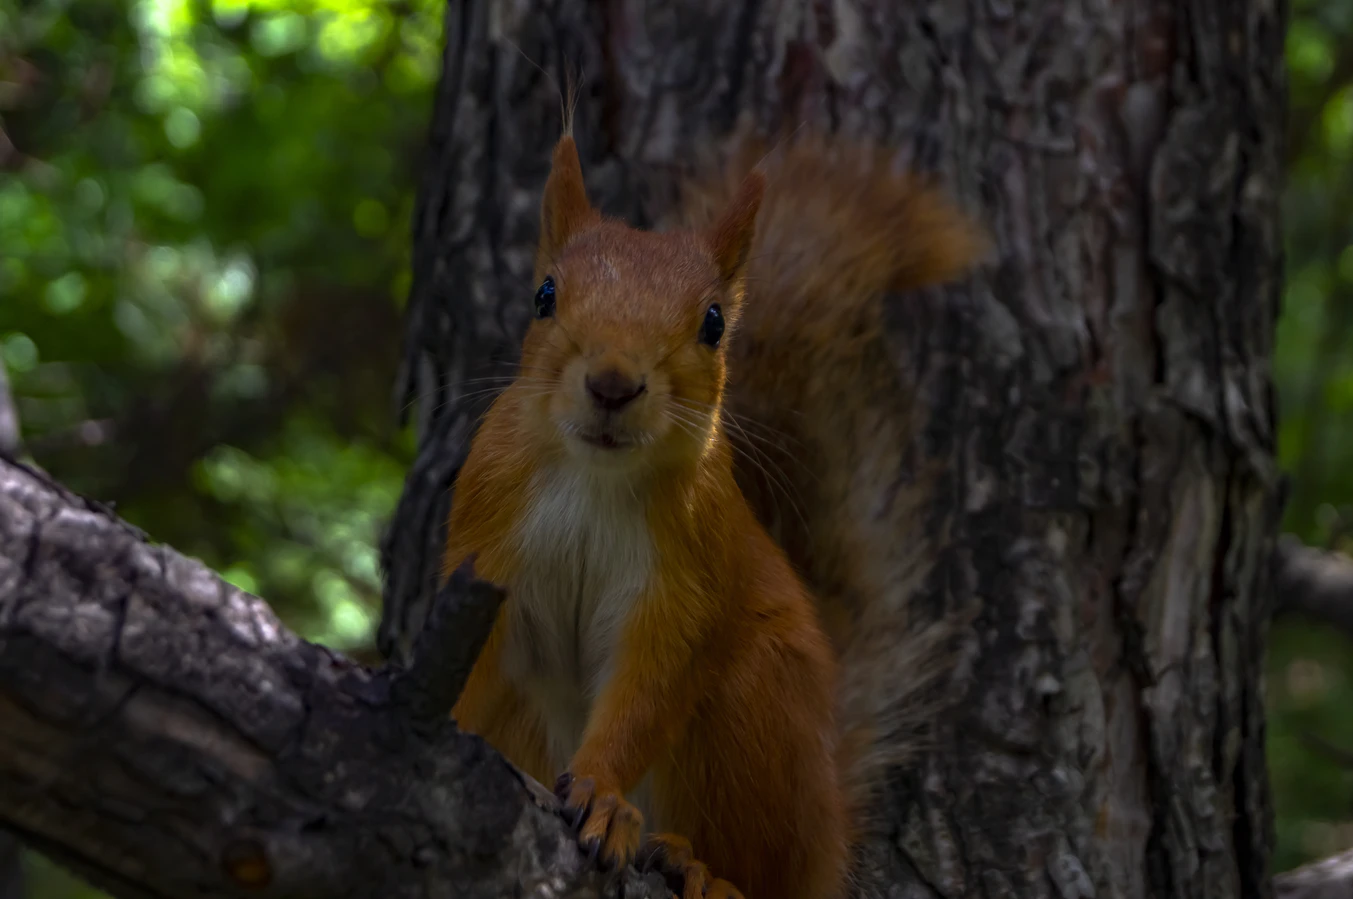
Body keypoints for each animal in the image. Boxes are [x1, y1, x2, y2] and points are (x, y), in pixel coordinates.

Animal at [443, 119, 984, 899]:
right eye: (544, 294)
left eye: (713, 323)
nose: (613, 384)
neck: (594, 478)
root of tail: (829, 840)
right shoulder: (486, 538)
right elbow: (477, 665)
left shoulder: (687, 579)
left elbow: (650, 687)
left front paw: (603, 796)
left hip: (754, 715)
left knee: (756, 866)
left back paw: (696, 865)